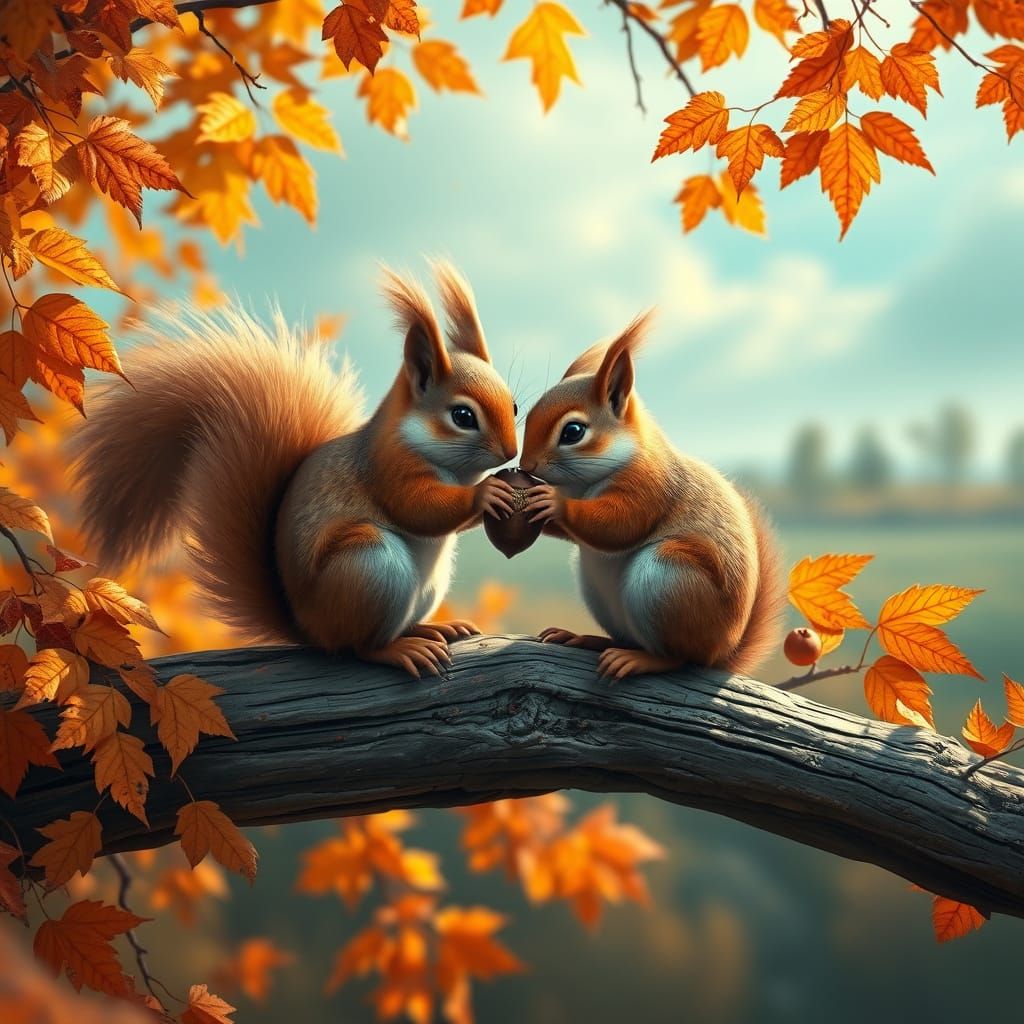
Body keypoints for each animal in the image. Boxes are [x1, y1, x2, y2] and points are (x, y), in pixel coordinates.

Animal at [69, 263, 521, 678]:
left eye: (514, 406)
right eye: (462, 416)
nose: (512, 451)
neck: (450, 467)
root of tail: (310, 630)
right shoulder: (388, 467)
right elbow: (418, 507)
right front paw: (486, 493)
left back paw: (434, 629)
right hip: (370, 566)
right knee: (360, 647)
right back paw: (400, 649)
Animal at [519, 312, 785, 680]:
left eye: (573, 432)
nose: (525, 464)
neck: (584, 484)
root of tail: (721, 653)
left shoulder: (649, 485)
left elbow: (619, 525)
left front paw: (553, 504)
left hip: (665, 579)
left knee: (680, 658)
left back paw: (641, 660)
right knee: (626, 639)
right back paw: (586, 639)